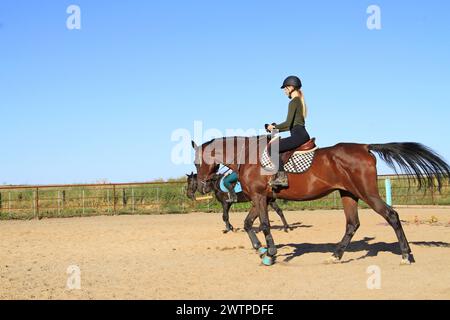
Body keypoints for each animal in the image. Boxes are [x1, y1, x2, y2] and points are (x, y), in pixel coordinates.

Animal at [192, 136, 450, 266]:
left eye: (196, 162)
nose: (204, 186)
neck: (249, 157)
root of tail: (364, 147)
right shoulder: (260, 199)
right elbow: (248, 224)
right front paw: (260, 248)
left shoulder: (259, 197)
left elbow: (263, 225)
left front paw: (271, 253)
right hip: (349, 194)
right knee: (352, 224)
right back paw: (336, 255)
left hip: (366, 193)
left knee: (391, 215)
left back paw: (406, 255)